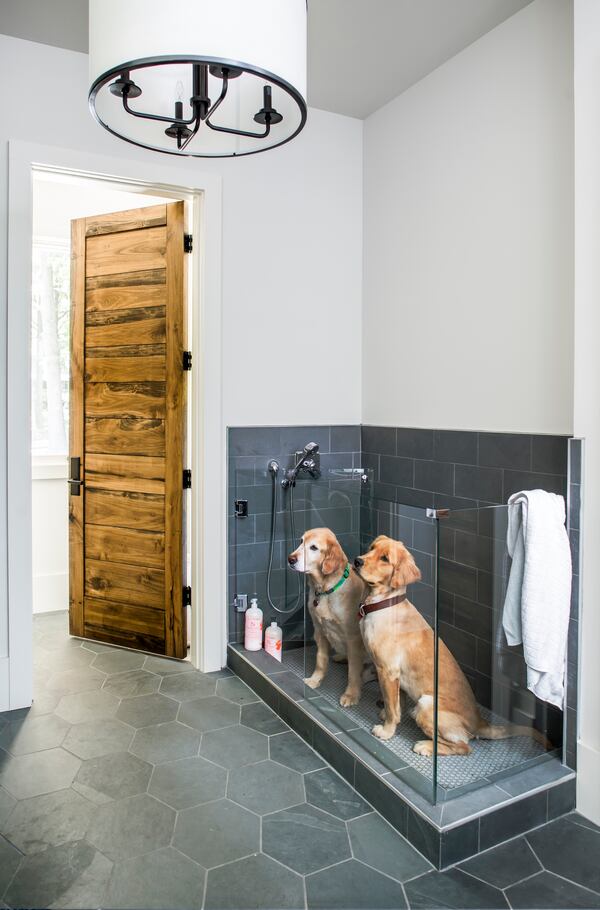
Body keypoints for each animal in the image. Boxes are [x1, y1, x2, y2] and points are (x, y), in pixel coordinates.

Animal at [290, 528, 368, 712]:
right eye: (301, 541)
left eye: (313, 547)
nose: (290, 559)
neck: (326, 590)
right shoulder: (319, 630)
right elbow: (321, 660)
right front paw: (314, 680)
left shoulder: (354, 639)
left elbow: (353, 672)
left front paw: (351, 695)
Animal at [354, 536, 552, 756]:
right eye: (372, 548)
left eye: (385, 559)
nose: (357, 561)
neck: (383, 603)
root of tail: (480, 722)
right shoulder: (396, 676)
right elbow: (398, 701)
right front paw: (386, 715)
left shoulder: (388, 671)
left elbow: (392, 707)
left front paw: (387, 730)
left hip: (426, 705)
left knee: (464, 746)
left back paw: (425, 746)